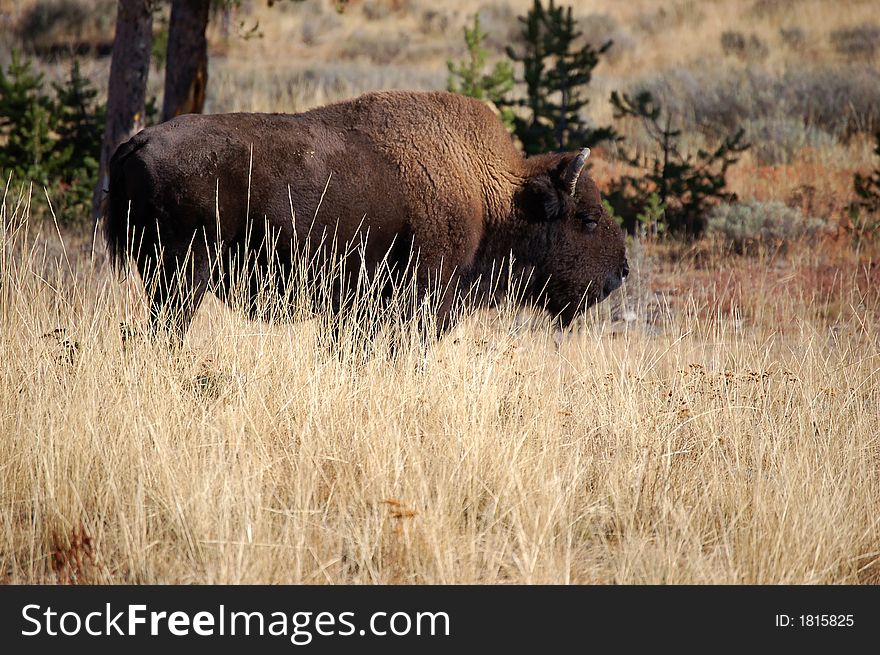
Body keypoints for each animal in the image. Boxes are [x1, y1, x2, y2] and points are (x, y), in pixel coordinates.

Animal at [105, 89, 624, 340]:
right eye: (587, 219)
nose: (619, 273)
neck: (489, 192)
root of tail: (138, 141)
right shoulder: (421, 299)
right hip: (181, 276)